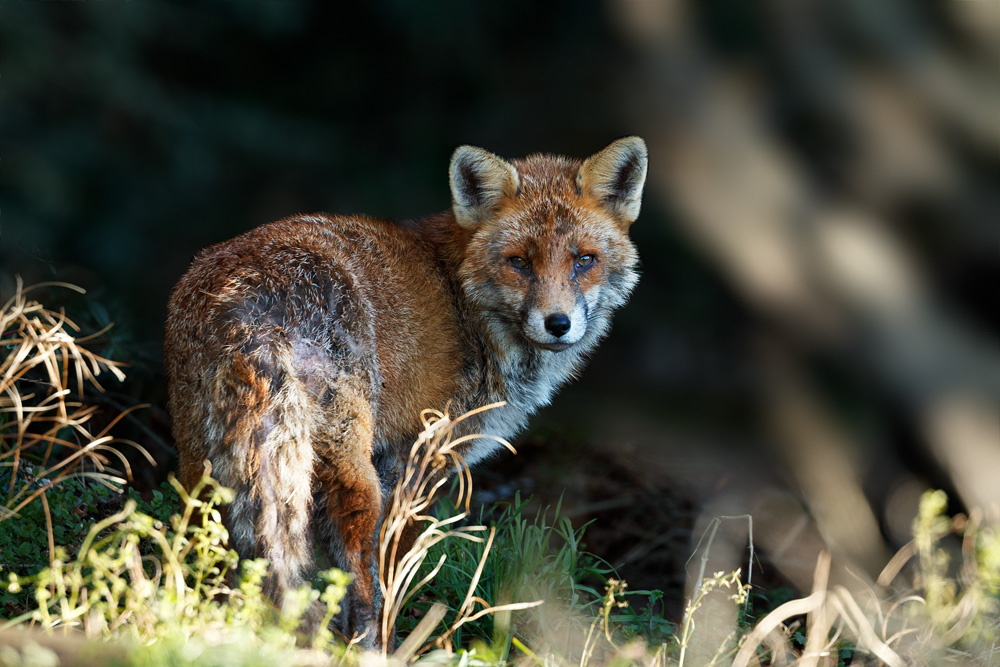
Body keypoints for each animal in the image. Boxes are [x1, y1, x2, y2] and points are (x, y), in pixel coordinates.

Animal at [163, 137, 647, 647]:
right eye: (519, 261)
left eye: (584, 260)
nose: (558, 324)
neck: (468, 308)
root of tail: (243, 296)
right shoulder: (418, 455)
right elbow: (394, 565)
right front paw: (396, 631)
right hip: (350, 463)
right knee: (350, 563)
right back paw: (367, 645)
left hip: (206, 460)